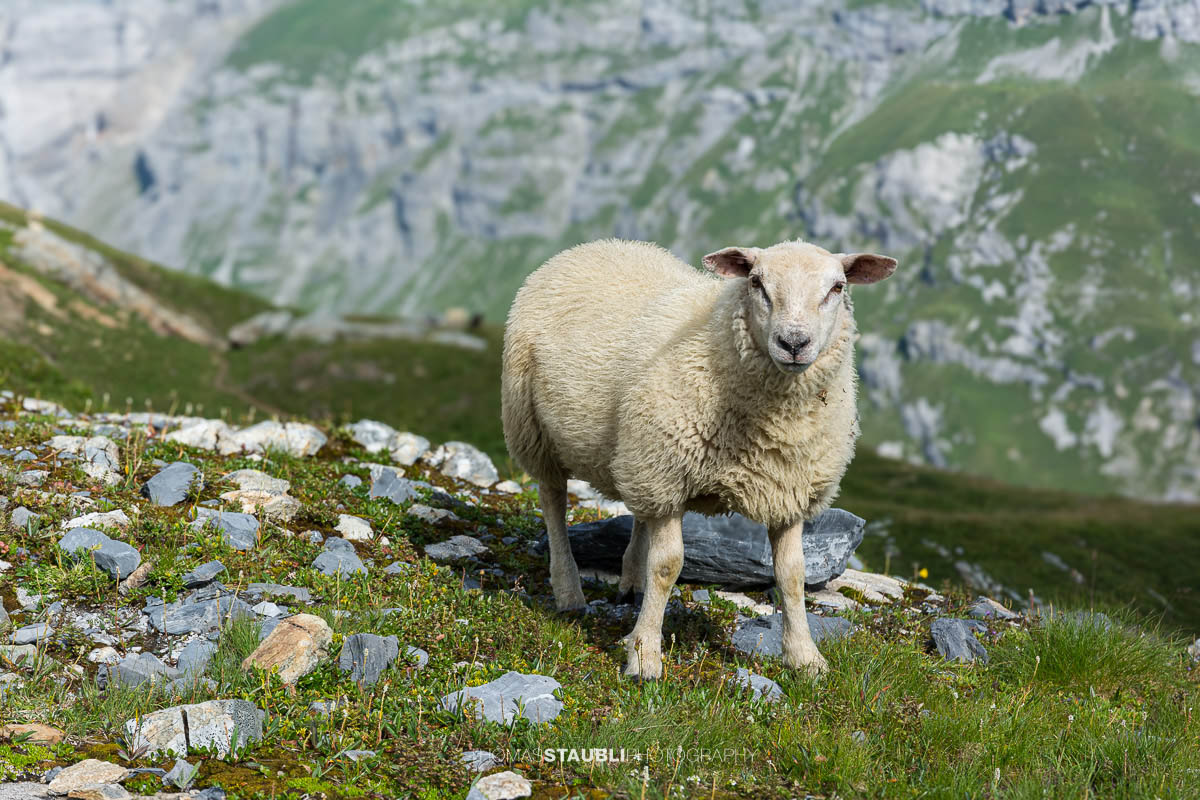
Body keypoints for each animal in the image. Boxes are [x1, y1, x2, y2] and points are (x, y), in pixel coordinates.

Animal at [501, 238, 897, 679]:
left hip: (638, 451)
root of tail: (596, 245)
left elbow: (793, 575)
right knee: (553, 501)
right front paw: (644, 656)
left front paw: (805, 658)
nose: (794, 343)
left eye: (837, 287)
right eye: (756, 282)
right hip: (534, 427)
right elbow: (667, 566)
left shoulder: (789, 489)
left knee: (639, 512)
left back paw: (631, 582)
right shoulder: (668, 474)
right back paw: (569, 592)